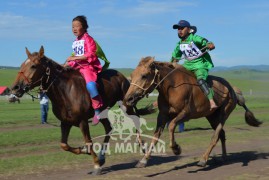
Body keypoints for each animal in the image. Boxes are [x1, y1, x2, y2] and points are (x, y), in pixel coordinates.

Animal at [9, 46, 151, 174]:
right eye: (21, 65)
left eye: (33, 66)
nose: (15, 88)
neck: (65, 91)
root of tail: (124, 77)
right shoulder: (65, 122)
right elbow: (64, 145)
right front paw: (84, 152)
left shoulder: (82, 121)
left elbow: (88, 142)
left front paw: (96, 165)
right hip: (103, 112)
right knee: (109, 128)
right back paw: (102, 156)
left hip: (127, 105)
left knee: (136, 121)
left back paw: (142, 147)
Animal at [124, 56, 262, 167]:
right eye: (132, 75)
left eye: (144, 75)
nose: (128, 99)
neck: (172, 87)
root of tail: (233, 90)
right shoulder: (162, 115)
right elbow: (156, 136)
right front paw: (144, 160)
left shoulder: (186, 114)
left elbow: (172, 126)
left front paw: (176, 148)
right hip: (211, 116)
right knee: (222, 135)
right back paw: (223, 157)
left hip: (223, 114)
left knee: (215, 136)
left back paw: (203, 159)